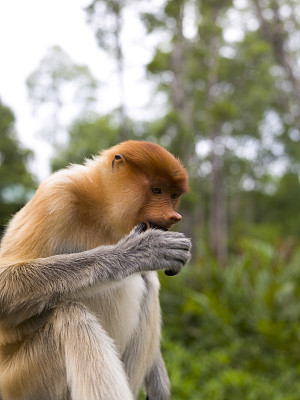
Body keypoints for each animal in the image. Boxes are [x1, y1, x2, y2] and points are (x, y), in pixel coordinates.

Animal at [0, 141, 192, 400]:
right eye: (156, 190)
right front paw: (140, 250)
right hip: (18, 381)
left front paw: (159, 386)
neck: (102, 209)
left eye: (173, 195)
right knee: (71, 316)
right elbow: (5, 281)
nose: (174, 216)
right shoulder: (56, 196)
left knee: (148, 282)